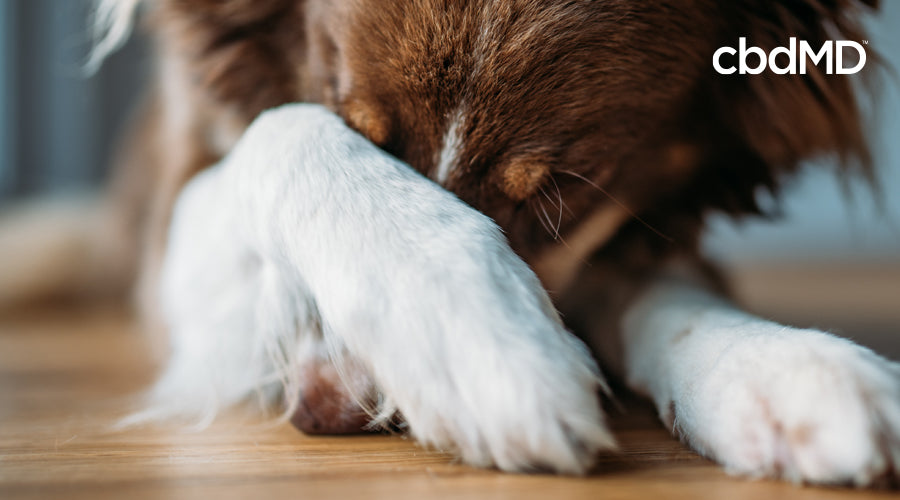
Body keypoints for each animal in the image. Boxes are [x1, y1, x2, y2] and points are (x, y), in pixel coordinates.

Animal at [0, 0, 896, 486]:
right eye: (353, 119)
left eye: (562, 197)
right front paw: (472, 338)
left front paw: (779, 367)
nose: (331, 409)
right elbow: (284, 128)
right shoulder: (171, 220)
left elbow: (662, 286)